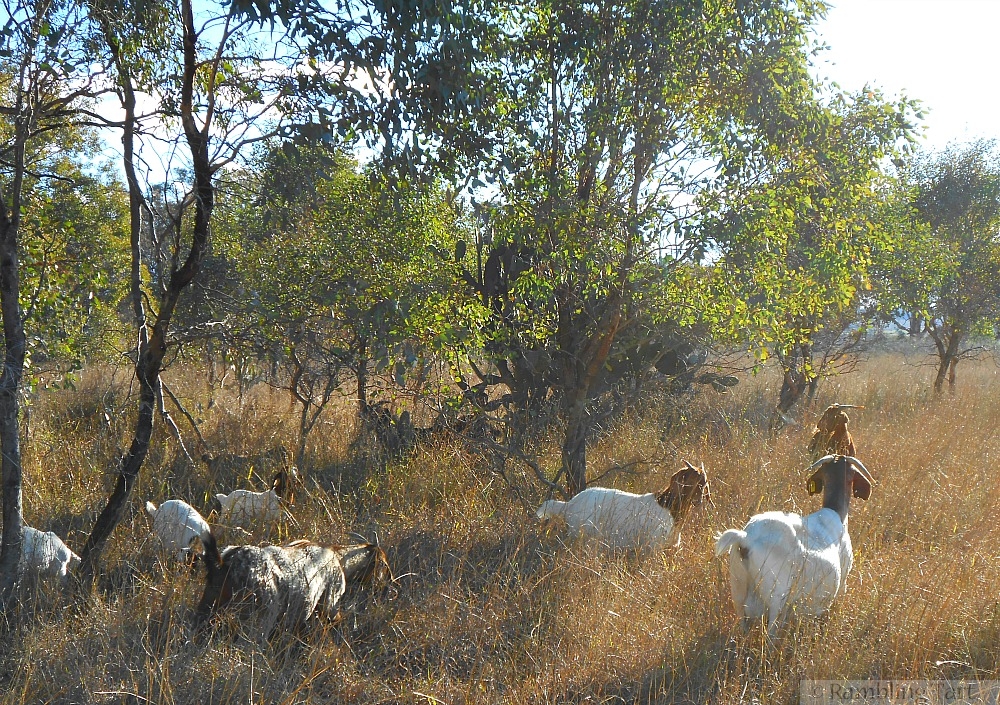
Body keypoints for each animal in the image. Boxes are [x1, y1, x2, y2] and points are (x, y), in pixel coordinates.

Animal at [195, 529, 391, 639]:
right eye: (383, 563)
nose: (386, 586)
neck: (339, 558)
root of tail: (224, 564)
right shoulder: (330, 601)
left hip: (208, 607)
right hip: (261, 616)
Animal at [536, 461, 710, 551]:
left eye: (704, 482)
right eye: (697, 481)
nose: (699, 502)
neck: (668, 506)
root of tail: (569, 504)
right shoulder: (652, 546)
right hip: (581, 536)